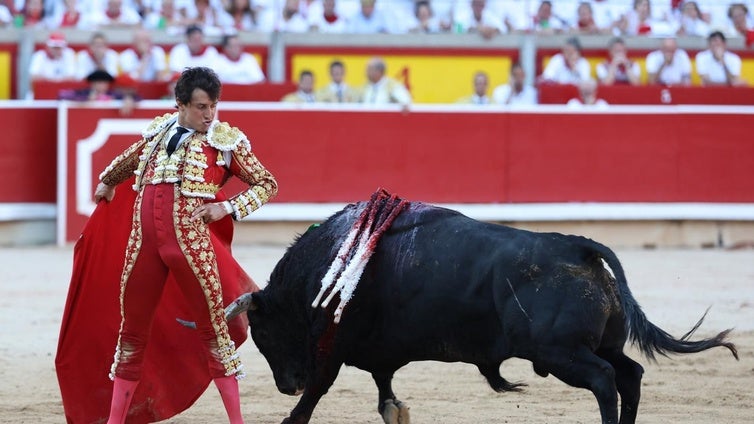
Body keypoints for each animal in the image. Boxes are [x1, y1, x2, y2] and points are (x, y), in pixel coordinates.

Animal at [226, 200, 736, 424]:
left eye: (262, 335)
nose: (286, 386)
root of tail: (578, 247)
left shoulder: (331, 347)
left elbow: (321, 388)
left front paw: (293, 416)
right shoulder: (377, 351)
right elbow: (384, 387)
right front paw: (395, 410)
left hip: (559, 353)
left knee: (605, 379)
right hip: (597, 344)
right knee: (629, 373)